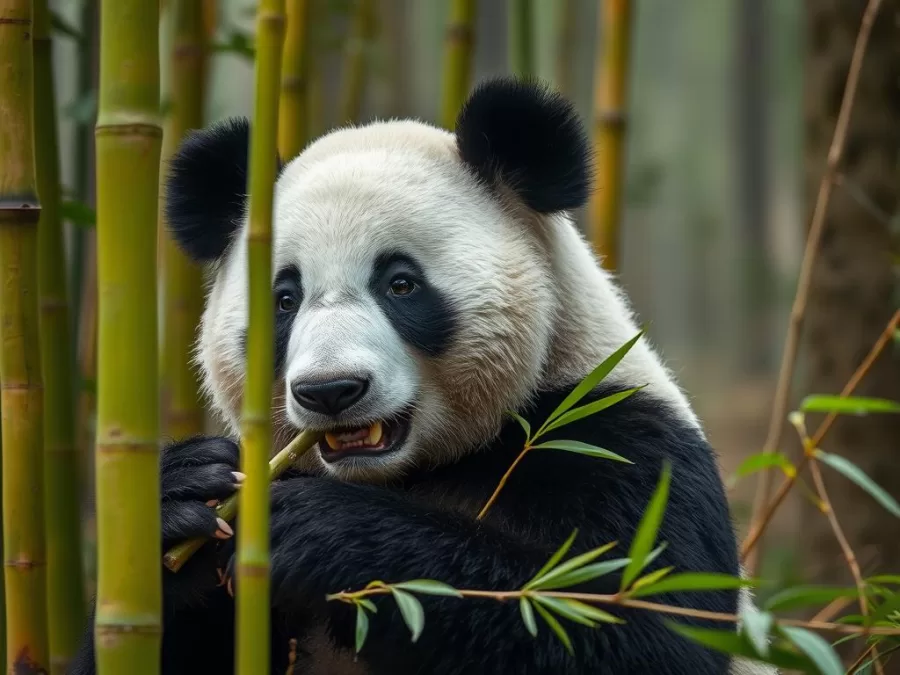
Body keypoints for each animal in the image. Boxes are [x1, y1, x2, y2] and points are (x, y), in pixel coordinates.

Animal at [71, 77, 776, 675]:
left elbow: (629, 624)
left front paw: (323, 530)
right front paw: (185, 493)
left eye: (401, 283)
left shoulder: (619, 443)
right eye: (285, 299)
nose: (331, 391)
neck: (414, 473)